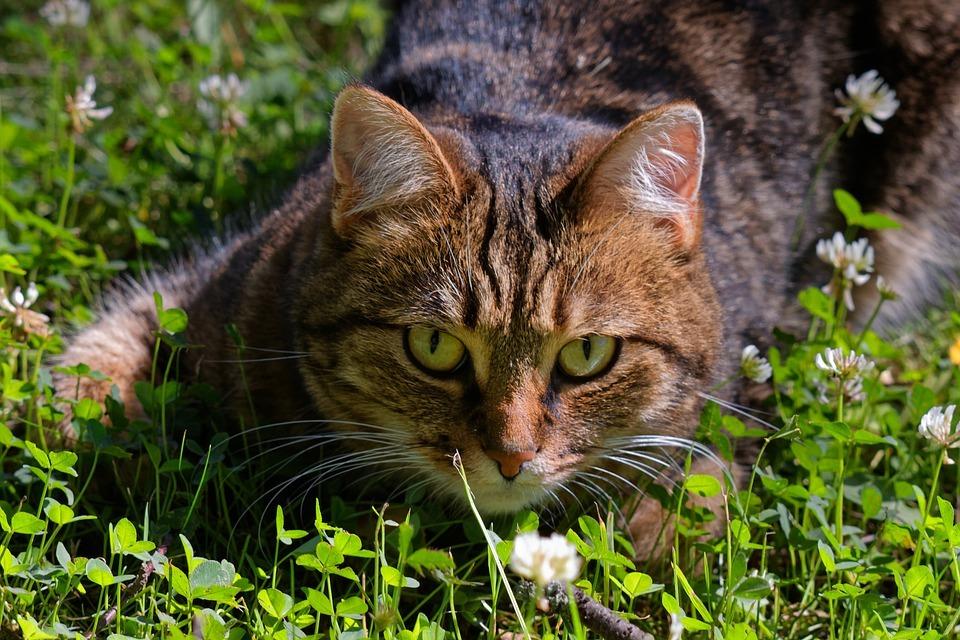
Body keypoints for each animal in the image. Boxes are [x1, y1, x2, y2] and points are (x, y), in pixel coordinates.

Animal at [58, 0, 960, 556]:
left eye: (589, 356)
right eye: (433, 346)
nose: (512, 455)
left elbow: (686, 512)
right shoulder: (200, 288)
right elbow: (72, 397)